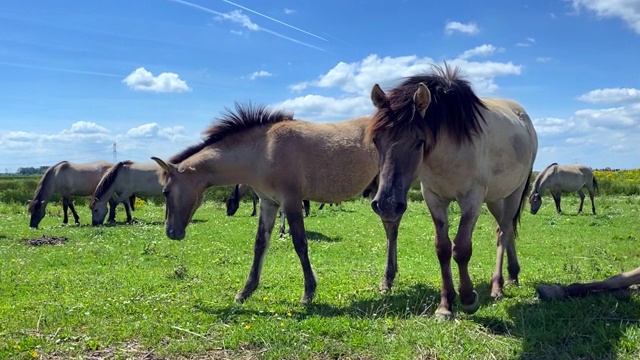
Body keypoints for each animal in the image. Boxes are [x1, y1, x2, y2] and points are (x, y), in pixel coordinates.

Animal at [152, 102, 378, 306]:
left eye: (165, 192)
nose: (170, 232)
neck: (265, 150)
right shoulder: (268, 203)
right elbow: (260, 244)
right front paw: (245, 291)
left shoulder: (291, 201)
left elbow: (300, 243)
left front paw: (308, 292)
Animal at [364, 63, 536, 320]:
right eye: (376, 140)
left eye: (418, 141)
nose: (387, 205)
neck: (450, 151)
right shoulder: (434, 198)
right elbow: (443, 248)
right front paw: (445, 305)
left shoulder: (472, 199)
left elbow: (462, 249)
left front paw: (468, 298)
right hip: (495, 198)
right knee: (503, 230)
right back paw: (512, 275)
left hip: (513, 194)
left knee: (503, 234)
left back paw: (497, 285)